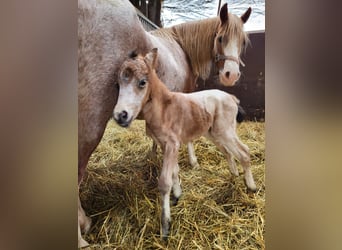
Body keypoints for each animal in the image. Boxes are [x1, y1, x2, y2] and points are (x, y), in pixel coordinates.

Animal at [113, 48, 255, 238]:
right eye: (118, 85)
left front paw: (165, 225)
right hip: (213, 133)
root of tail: (232, 97)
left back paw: (251, 186)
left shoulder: (172, 144)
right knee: (228, 151)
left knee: (244, 151)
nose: (120, 115)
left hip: (225, 131)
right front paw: (177, 195)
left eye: (142, 82)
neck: (164, 108)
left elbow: (164, 181)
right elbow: (175, 171)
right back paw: (234, 174)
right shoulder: (166, 145)